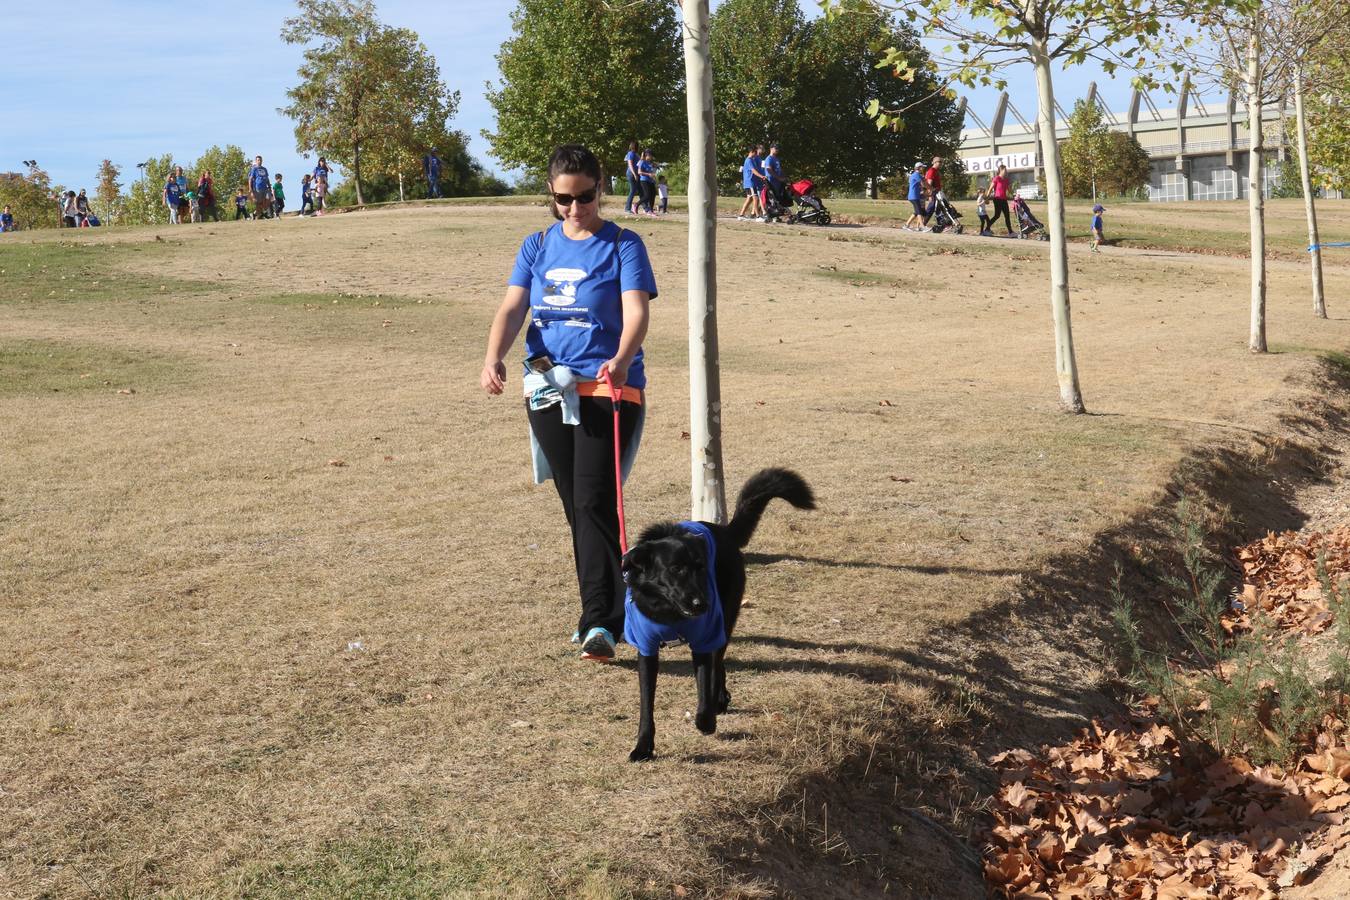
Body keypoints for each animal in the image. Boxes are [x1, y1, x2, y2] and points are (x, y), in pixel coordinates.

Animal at [618, 472, 810, 761]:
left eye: (701, 568)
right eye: (676, 569)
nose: (702, 604)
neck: (669, 614)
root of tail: (725, 532)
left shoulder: (703, 639)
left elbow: (704, 682)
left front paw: (705, 720)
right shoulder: (646, 649)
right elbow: (646, 702)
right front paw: (643, 746)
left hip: (725, 620)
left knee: (718, 662)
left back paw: (718, 700)